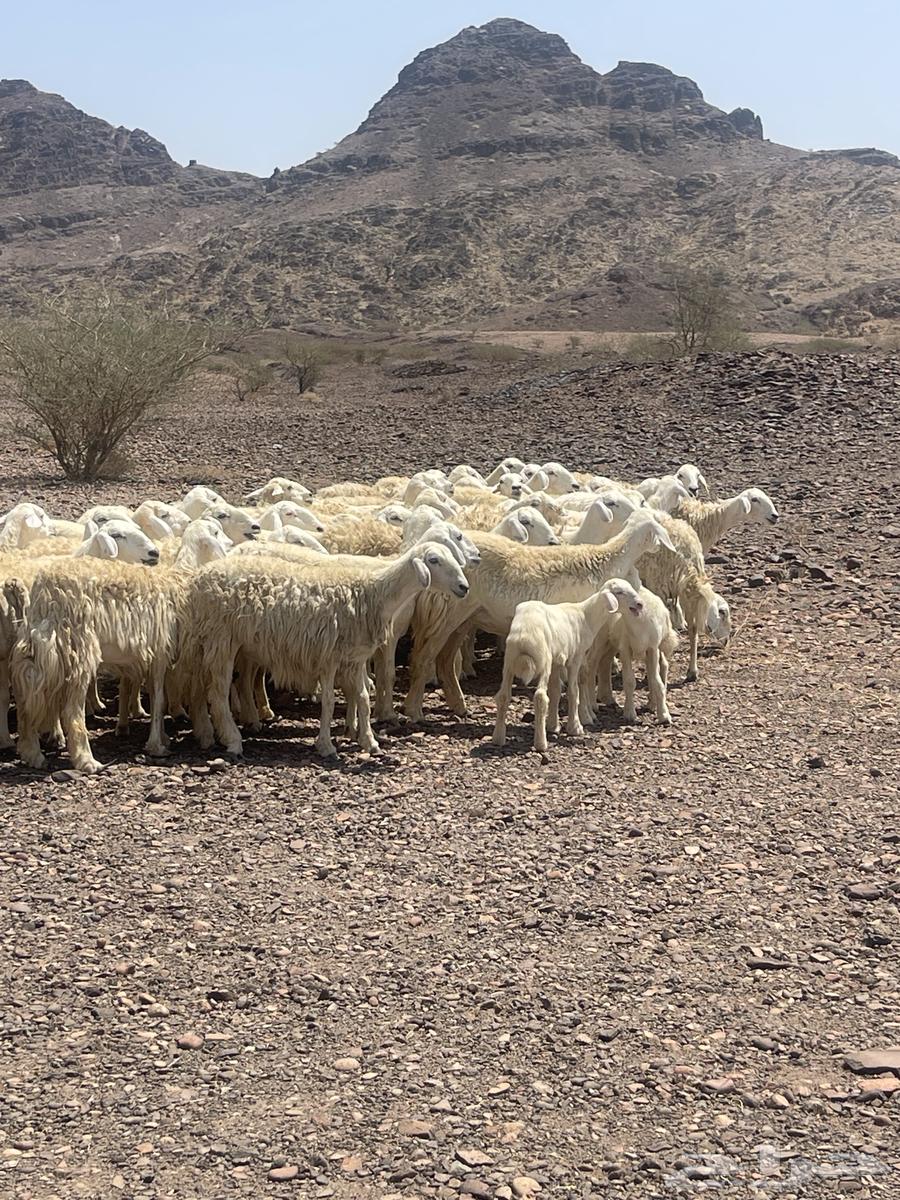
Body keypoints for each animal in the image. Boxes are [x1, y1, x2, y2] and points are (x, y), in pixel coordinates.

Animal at [183, 541, 470, 759]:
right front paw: (326, 745)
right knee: (218, 692)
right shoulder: (328, 656)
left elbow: (363, 698)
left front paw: (369, 741)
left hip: (236, 643)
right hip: (221, 637)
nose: (464, 587)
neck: (371, 593)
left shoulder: (354, 658)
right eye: (434, 560)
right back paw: (233, 740)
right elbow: (330, 702)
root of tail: (200, 576)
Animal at [403, 509, 677, 721]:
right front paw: (586, 713)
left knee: (445, 660)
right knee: (423, 657)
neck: (608, 562)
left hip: (464, 616)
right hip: (444, 610)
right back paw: (413, 711)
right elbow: (584, 673)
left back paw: (459, 706)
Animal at [492, 583, 620, 752]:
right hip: (543, 661)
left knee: (503, 695)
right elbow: (573, 690)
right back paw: (541, 743)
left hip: (509, 662)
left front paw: (553, 725)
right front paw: (575, 727)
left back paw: (498, 738)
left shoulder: (557, 661)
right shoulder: (575, 658)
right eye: (620, 592)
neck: (586, 615)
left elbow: (556, 691)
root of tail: (524, 636)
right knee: (540, 697)